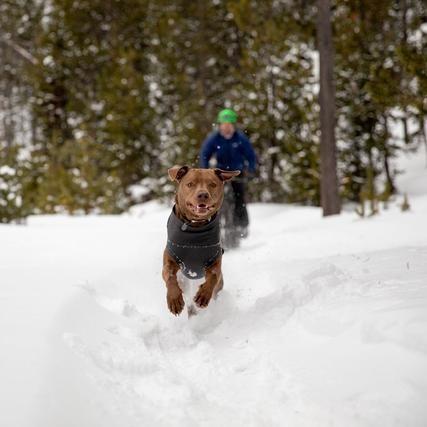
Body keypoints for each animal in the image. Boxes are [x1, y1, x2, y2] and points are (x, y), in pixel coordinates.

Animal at [163, 166, 239, 316]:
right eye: (190, 184)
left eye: (212, 184)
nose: (203, 195)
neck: (195, 229)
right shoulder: (170, 257)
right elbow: (169, 276)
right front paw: (174, 300)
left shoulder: (215, 260)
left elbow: (213, 276)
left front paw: (203, 296)